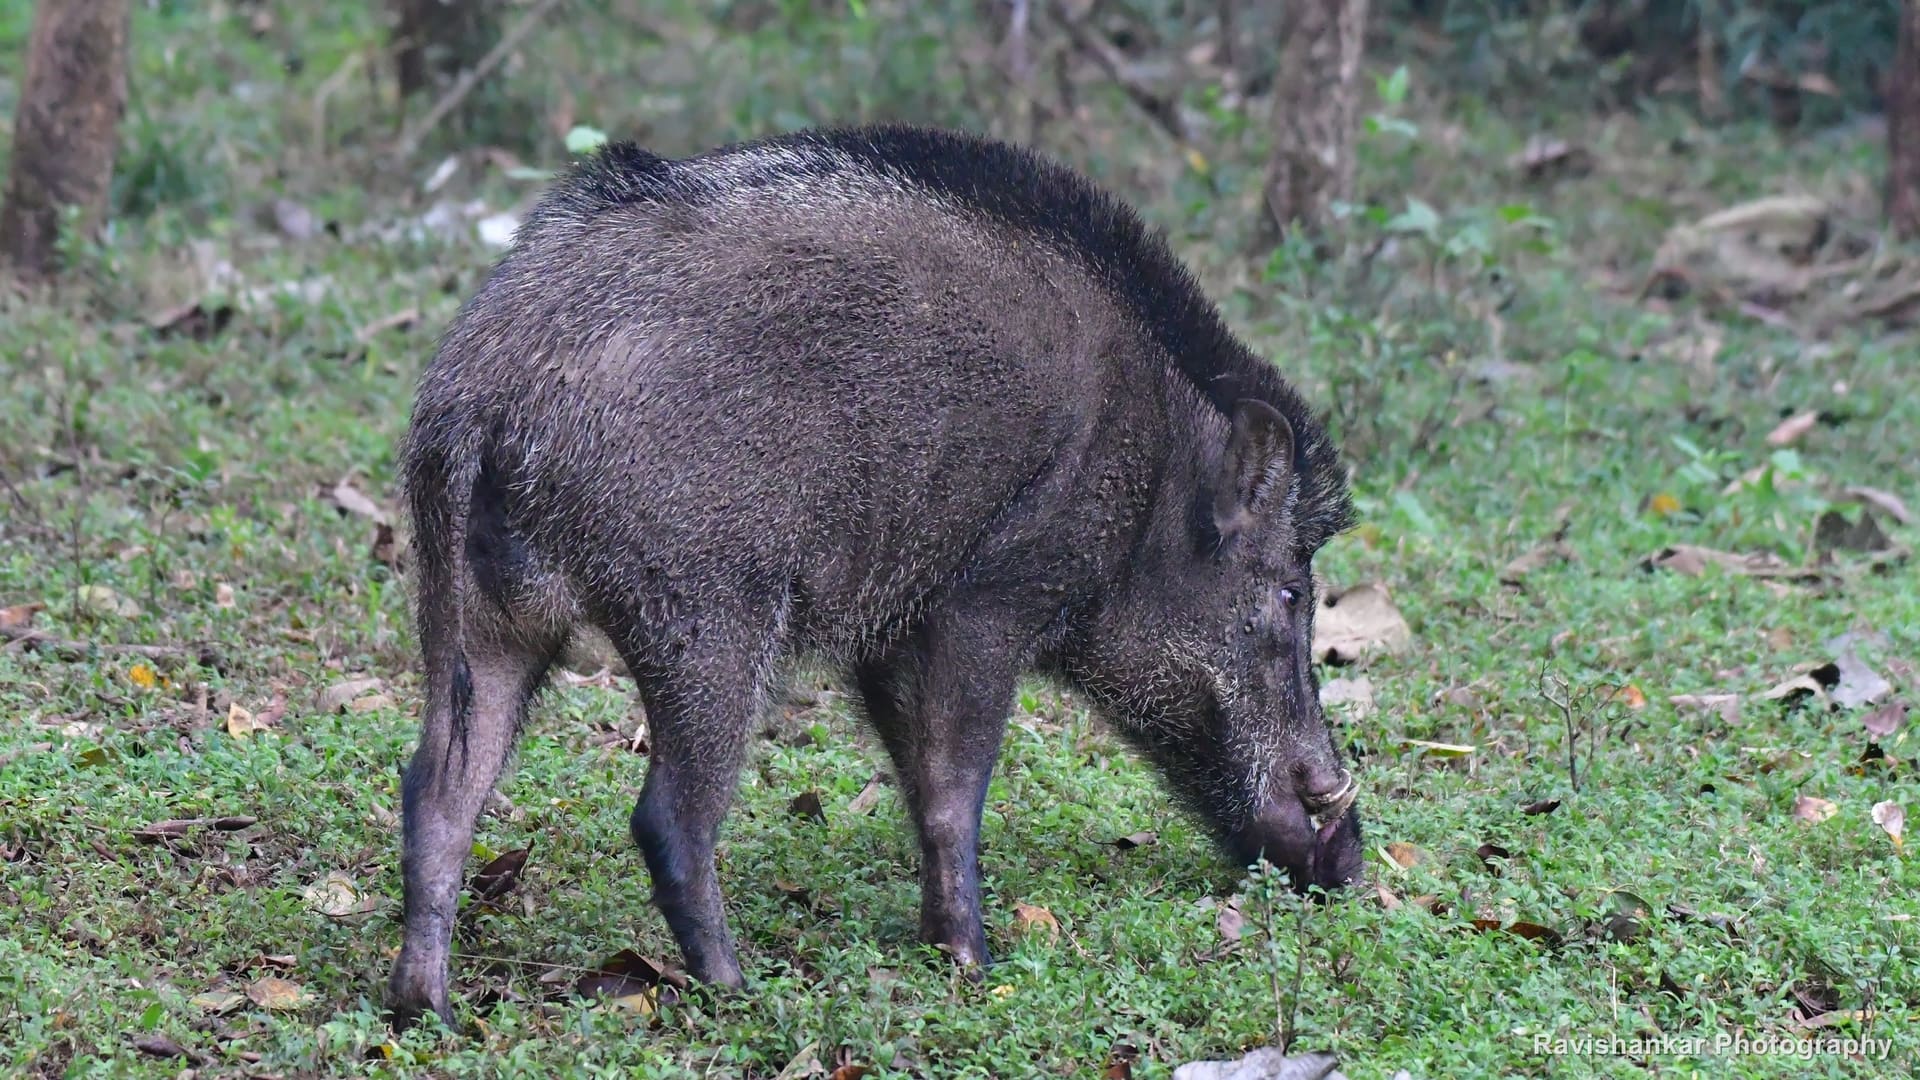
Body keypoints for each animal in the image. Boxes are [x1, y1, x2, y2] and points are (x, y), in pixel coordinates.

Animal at [388, 125, 1362, 1024]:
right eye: (1289, 591)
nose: (1347, 860)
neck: (1155, 477)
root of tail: (489, 385)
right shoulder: (989, 599)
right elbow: (953, 788)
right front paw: (974, 965)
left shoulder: (893, 632)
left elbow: (921, 780)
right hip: (704, 611)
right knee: (669, 817)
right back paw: (741, 992)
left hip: (471, 601)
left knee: (438, 788)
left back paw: (425, 1011)